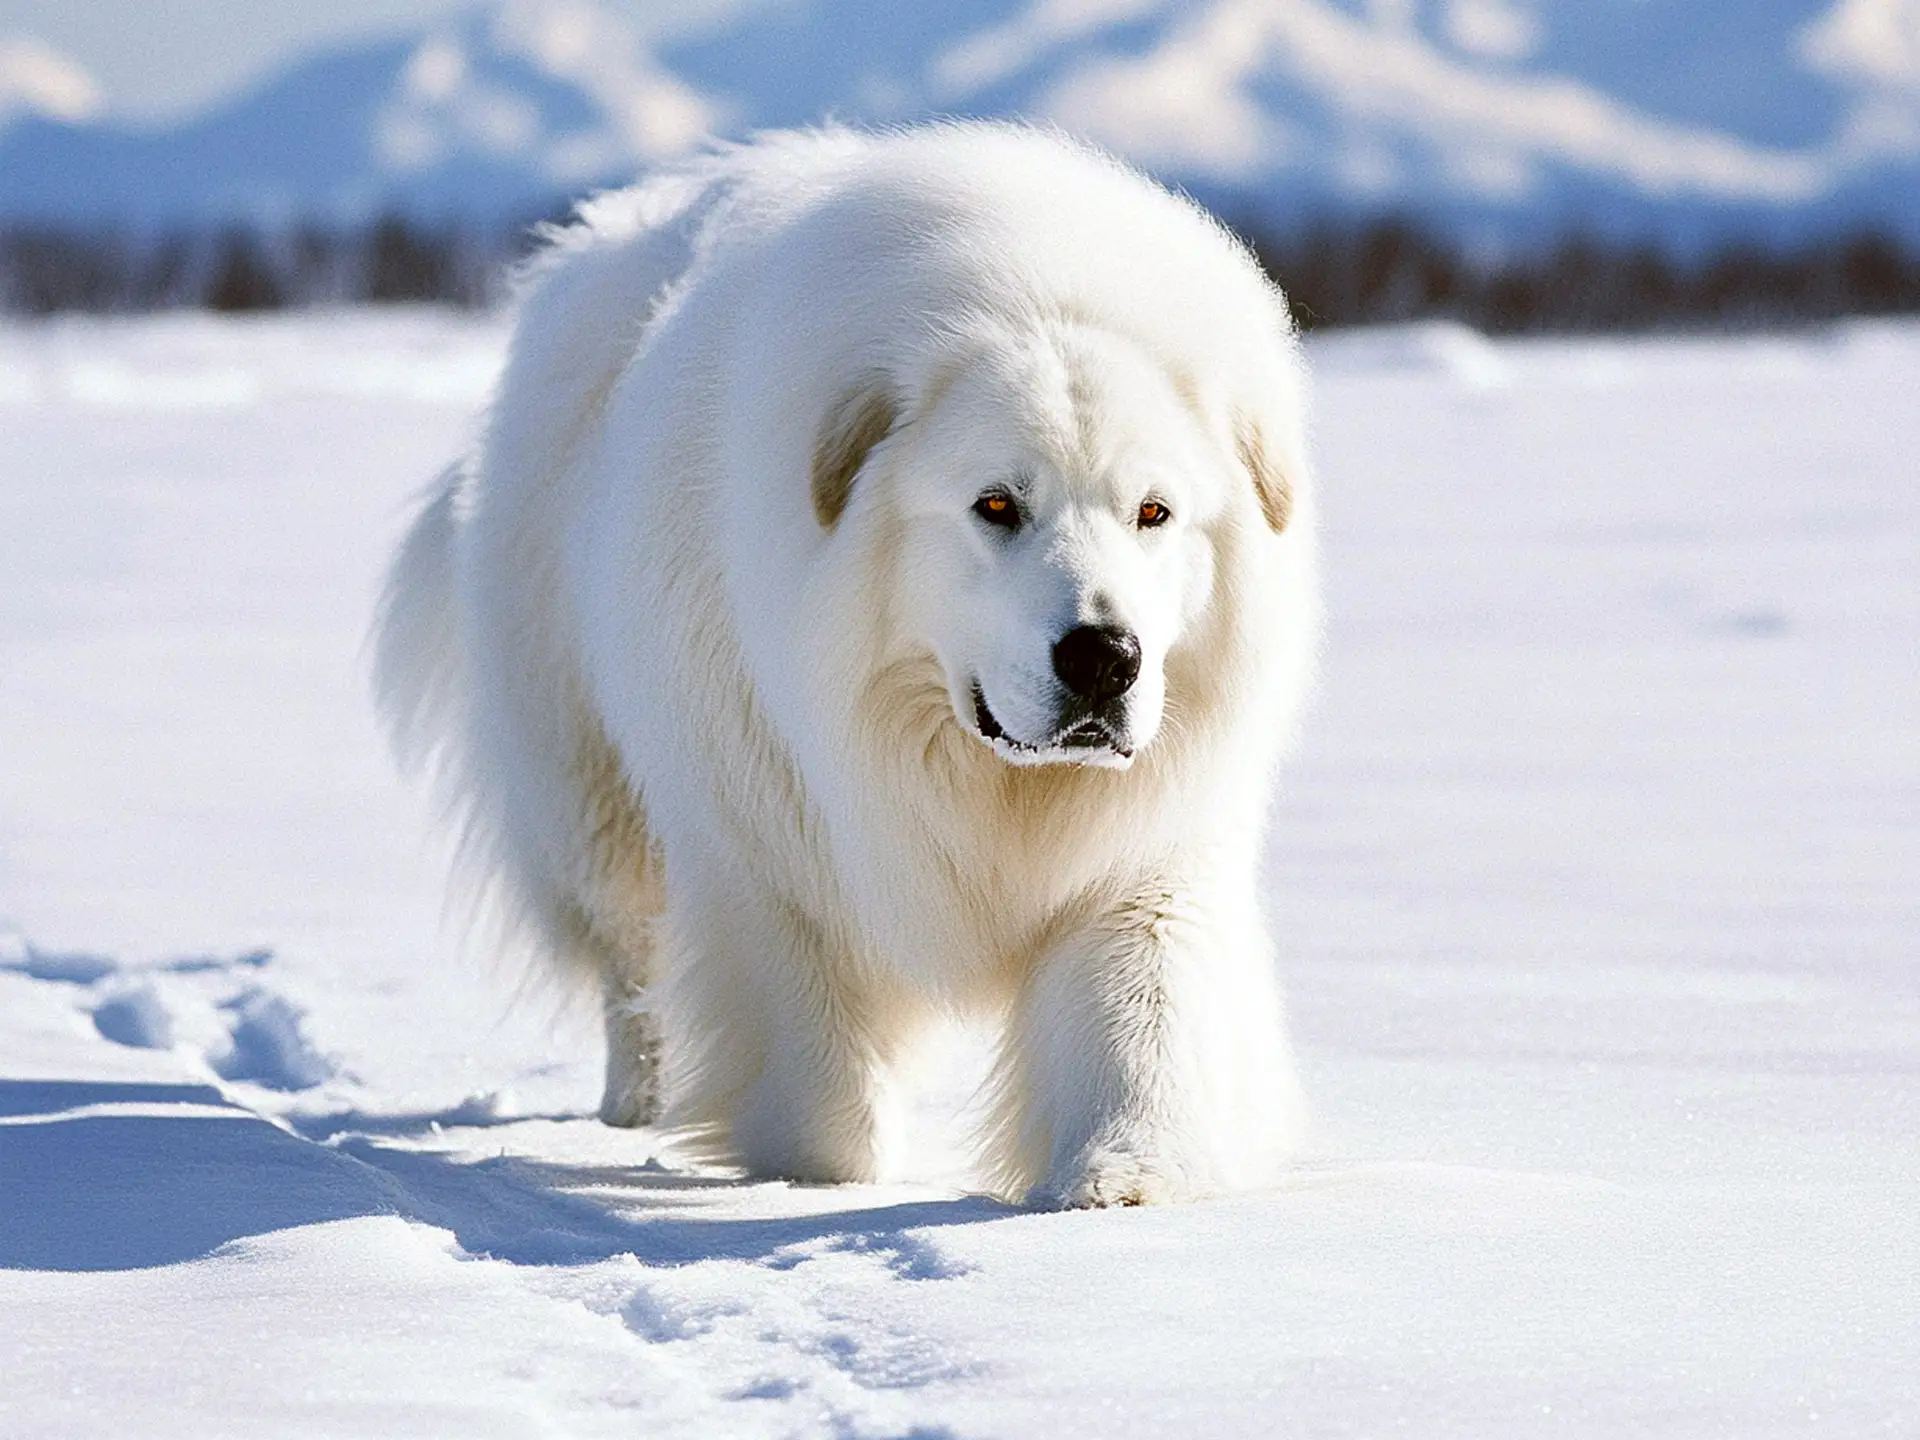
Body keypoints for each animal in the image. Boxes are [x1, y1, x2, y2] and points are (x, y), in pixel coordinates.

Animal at [382, 121, 1328, 1205]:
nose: (1105, 658)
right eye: (995, 504)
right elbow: (822, 1082)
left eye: (1154, 511)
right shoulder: (775, 849)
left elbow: (1140, 1018)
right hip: (588, 785)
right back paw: (639, 1105)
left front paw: (1122, 1175)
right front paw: (821, 1184)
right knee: (634, 958)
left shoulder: (1147, 853)